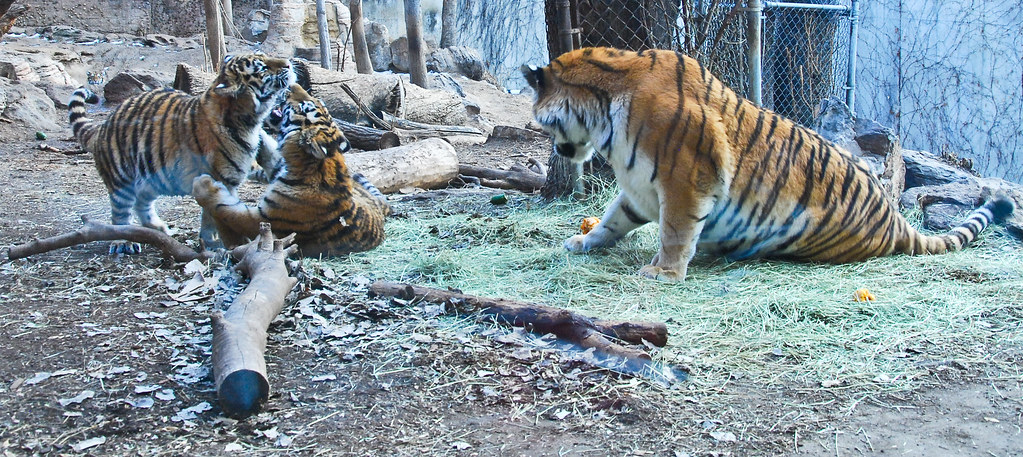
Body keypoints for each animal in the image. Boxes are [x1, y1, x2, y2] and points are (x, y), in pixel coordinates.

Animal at [67, 54, 294, 253]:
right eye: (262, 68)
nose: (289, 64)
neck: (250, 120)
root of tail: (103, 126)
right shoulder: (220, 179)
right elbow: (216, 213)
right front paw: (215, 242)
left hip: (152, 177)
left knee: (142, 203)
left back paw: (158, 228)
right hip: (122, 180)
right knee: (120, 214)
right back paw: (124, 242)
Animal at [190, 84, 388, 257]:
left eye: (303, 107)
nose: (292, 85)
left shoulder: (262, 220)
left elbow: (224, 208)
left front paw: (203, 184)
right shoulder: (279, 165)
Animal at [527, 47, 1014, 282]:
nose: (558, 153)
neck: (603, 111)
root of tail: (896, 222)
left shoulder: (685, 179)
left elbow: (675, 232)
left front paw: (663, 273)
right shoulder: (641, 189)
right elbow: (612, 220)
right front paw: (582, 242)